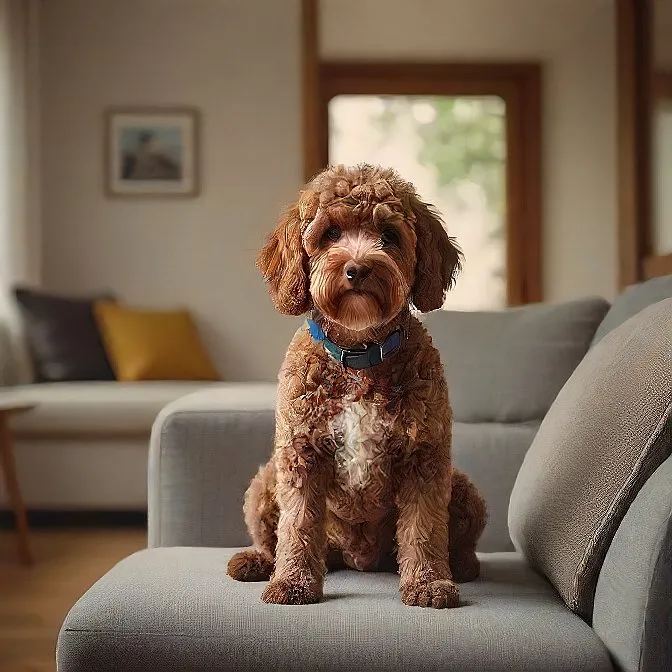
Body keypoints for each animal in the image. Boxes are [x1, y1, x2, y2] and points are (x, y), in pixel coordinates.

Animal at [228, 164, 486, 608]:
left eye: (390, 235)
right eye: (330, 233)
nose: (358, 268)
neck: (360, 354)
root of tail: (357, 558)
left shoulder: (425, 458)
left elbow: (423, 529)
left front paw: (429, 584)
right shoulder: (301, 455)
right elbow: (297, 526)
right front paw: (292, 583)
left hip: (462, 487)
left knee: (459, 542)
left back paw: (462, 566)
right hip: (265, 482)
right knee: (273, 538)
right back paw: (257, 562)